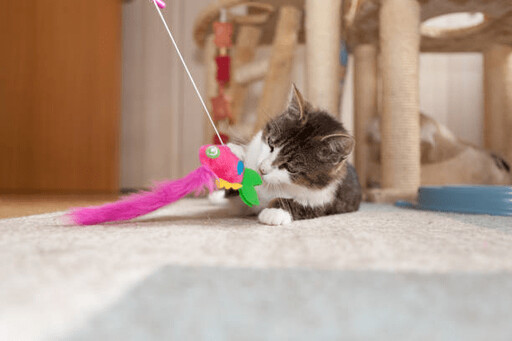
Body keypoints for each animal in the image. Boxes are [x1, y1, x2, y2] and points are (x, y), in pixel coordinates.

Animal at [214, 84, 362, 223]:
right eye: (270, 143)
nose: (262, 169)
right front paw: (235, 152)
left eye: (290, 167)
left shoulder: (328, 198)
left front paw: (275, 211)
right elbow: (233, 189)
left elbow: (307, 207)